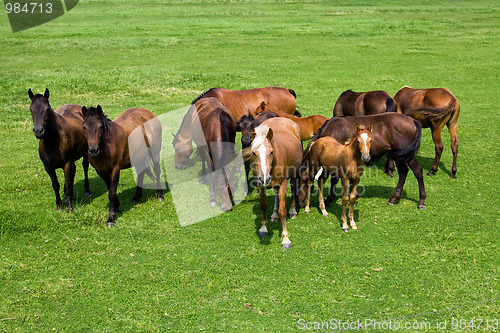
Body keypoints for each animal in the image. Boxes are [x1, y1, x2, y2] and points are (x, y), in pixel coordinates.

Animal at [242, 117, 300, 249]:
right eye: (254, 153)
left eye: (271, 152)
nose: (265, 178)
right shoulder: (260, 185)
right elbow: (263, 206)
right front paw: (263, 228)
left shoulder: (283, 184)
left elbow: (282, 211)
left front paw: (285, 239)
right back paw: (274, 214)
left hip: (294, 173)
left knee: (294, 188)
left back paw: (292, 210)